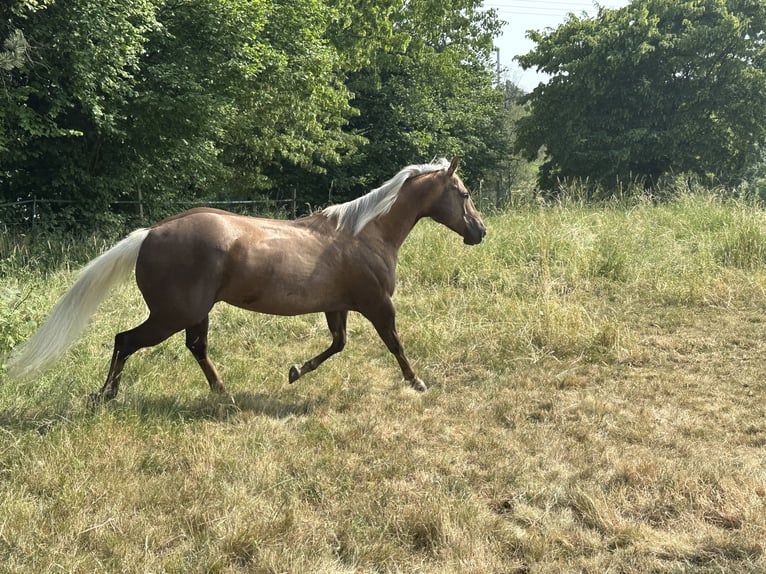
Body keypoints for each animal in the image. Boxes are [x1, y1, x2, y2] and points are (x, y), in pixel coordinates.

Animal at [8, 157, 486, 400]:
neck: (365, 233)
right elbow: (395, 344)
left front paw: (295, 372)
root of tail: (150, 234)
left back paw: (224, 395)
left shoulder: (338, 306)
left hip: (193, 313)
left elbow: (337, 345)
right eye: (463, 193)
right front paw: (417, 382)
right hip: (171, 314)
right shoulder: (377, 304)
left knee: (196, 348)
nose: (480, 232)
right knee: (125, 341)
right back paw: (106, 396)